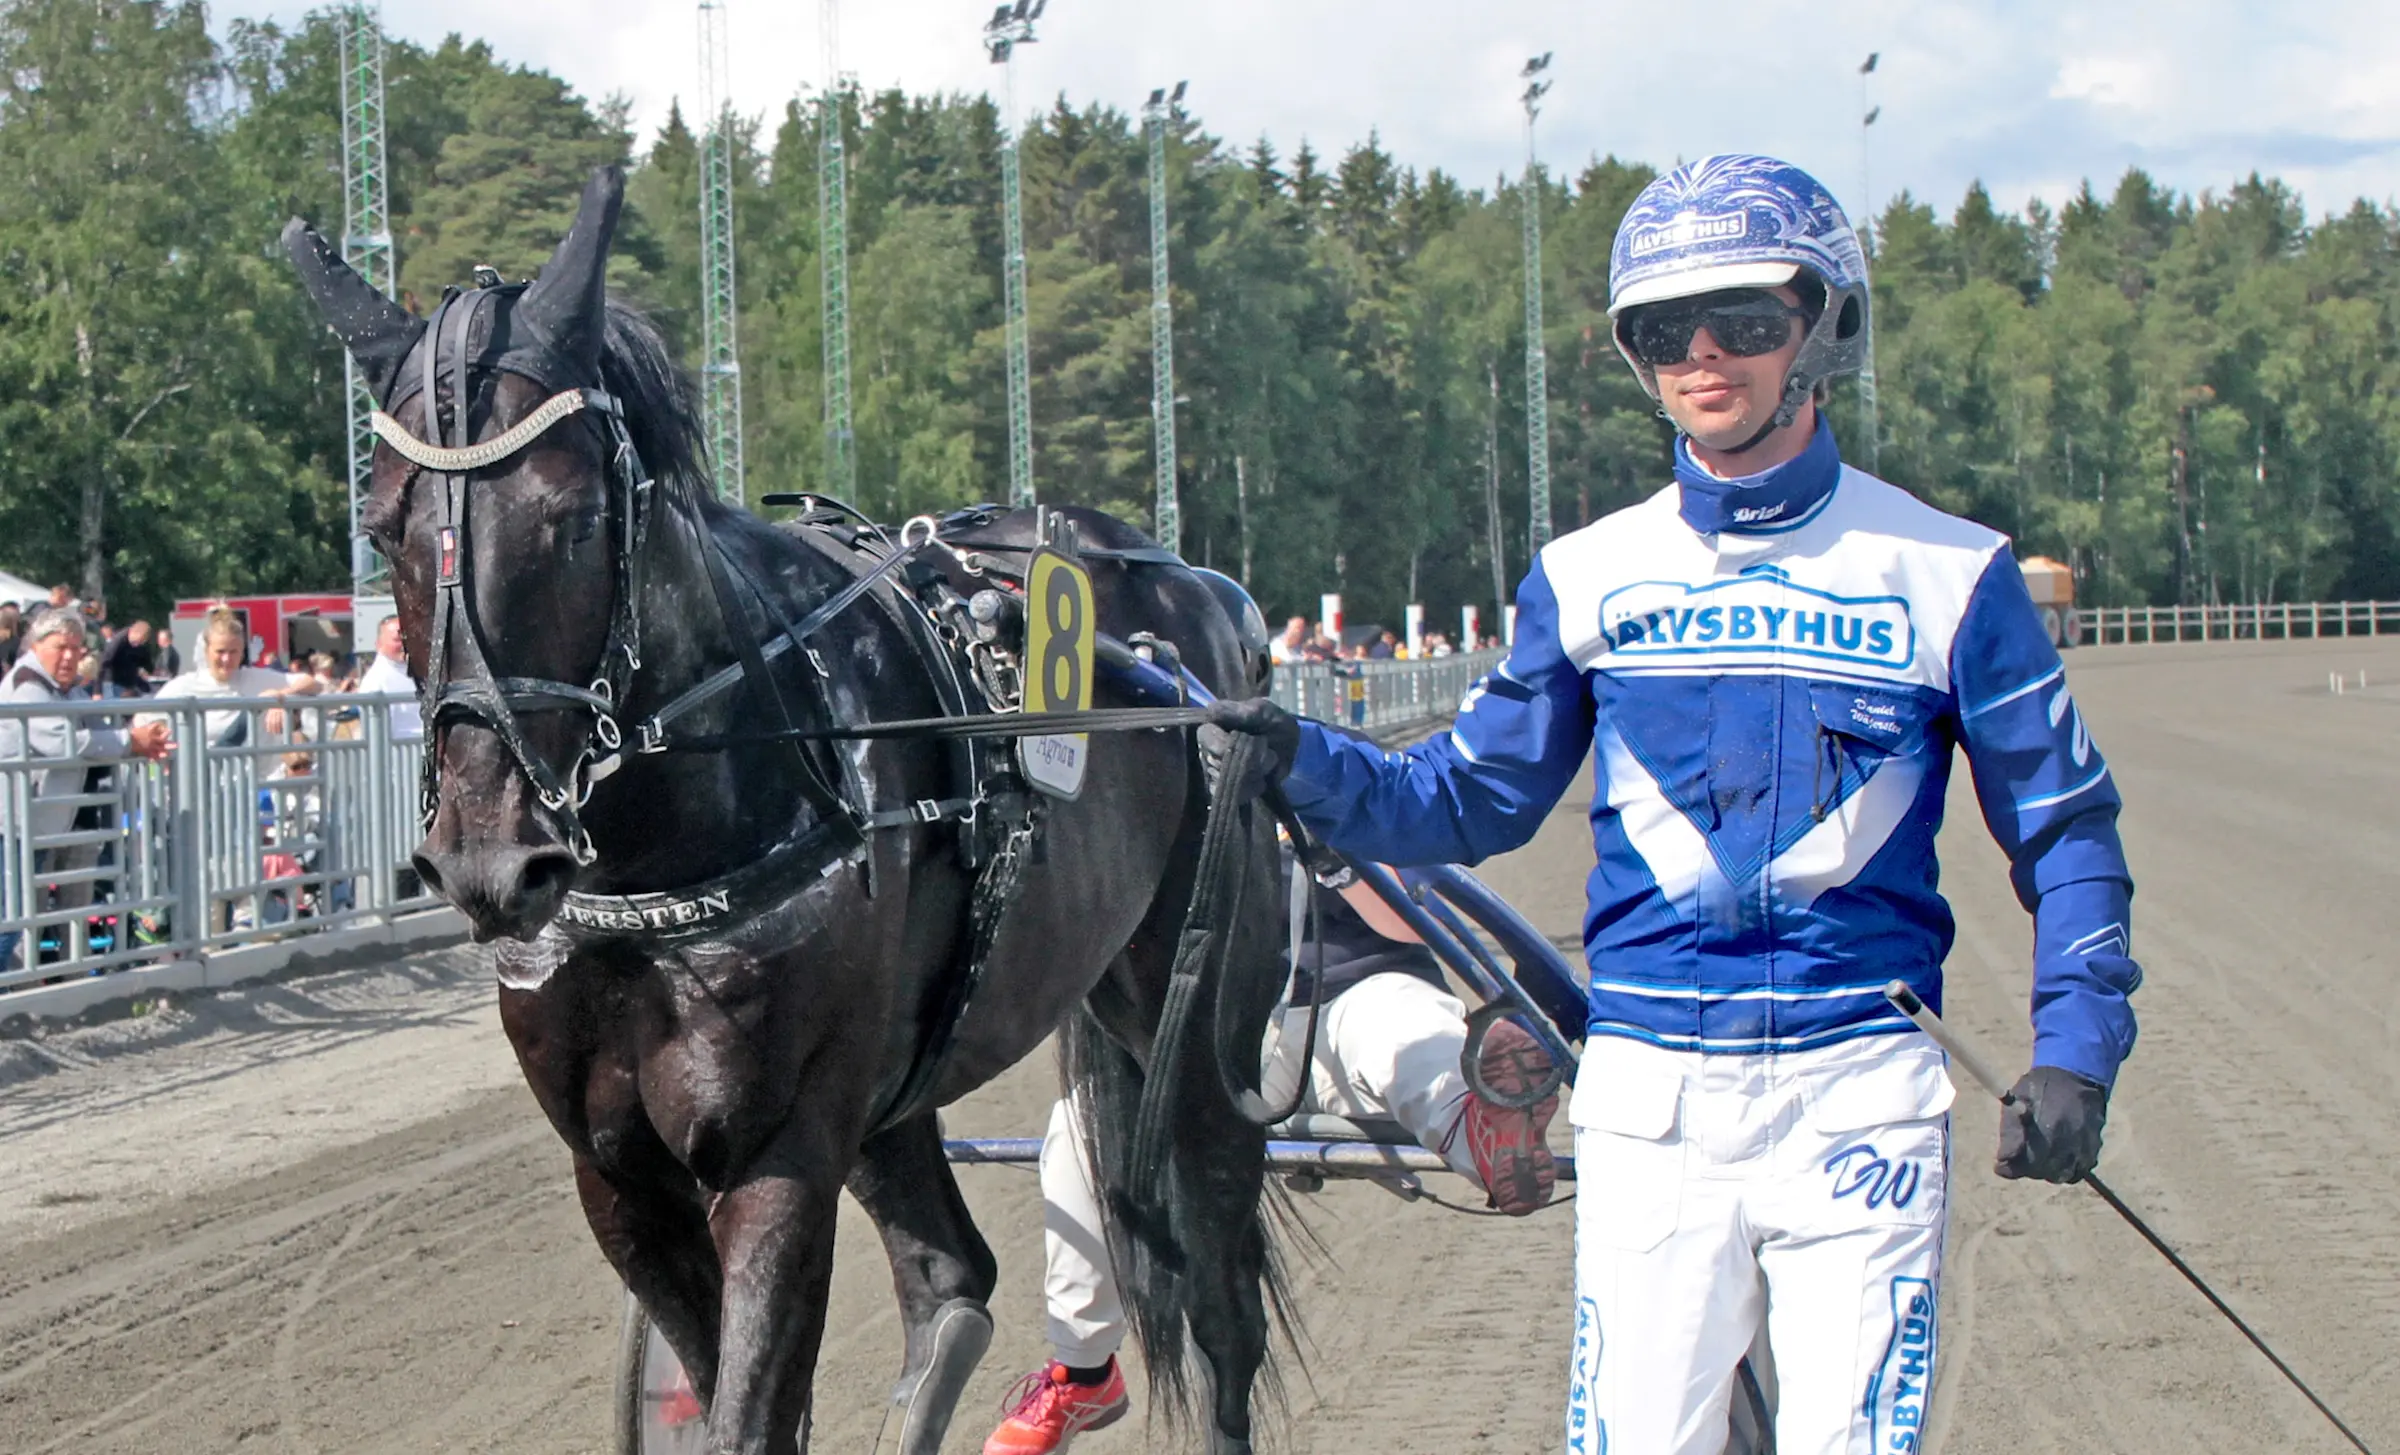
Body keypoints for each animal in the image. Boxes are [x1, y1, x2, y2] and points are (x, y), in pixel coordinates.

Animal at [285, 170, 1296, 1455]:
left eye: (574, 517)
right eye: (381, 530)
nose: (488, 860)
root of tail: (1207, 597)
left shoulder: (781, 1156)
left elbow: (748, 1412)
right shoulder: (621, 1177)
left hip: (1195, 1016)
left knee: (1215, 1293)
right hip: (904, 1075)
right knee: (951, 1286)